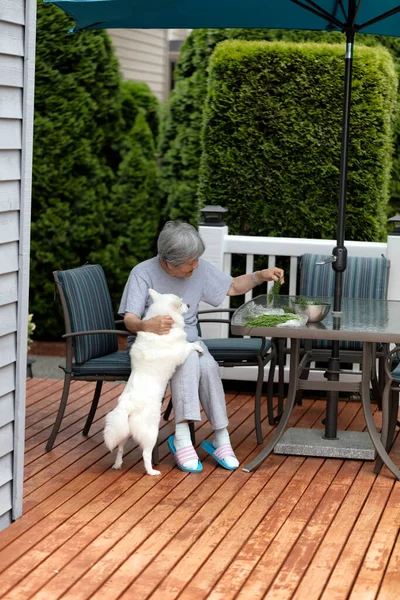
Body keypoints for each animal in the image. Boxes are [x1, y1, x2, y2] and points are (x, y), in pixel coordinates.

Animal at [103, 288, 203, 476]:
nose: (189, 304)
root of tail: (127, 406)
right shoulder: (181, 353)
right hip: (151, 433)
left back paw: (117, 464)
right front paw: (198, 347)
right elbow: (189, 345)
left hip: (124, 431)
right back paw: (152, 472)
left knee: (120, 448)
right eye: (181, 303)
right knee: (146, 454)